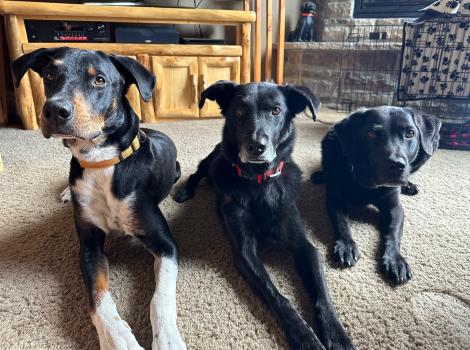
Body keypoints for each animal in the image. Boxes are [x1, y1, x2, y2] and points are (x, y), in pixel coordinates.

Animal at [12, 48, 185, 350]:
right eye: (49, 75)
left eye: (100, 80)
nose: (54, 110)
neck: (101, 161)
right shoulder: (89, 246)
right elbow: (98, 299)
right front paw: (120, 340)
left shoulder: (165, 244)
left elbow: (160, 298)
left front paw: (167, 339)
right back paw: (66, 192)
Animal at [174, 81, 354, 350]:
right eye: (239, 110)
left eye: (276, 110)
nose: (256, 146)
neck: (260, 183)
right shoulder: (244, 251)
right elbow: (278, 296)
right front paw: (305, 336)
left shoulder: (304, 245)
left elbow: (322, 294)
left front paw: (337, 335)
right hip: (211, 161)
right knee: (196, 174)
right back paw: (185, 191)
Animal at [312, 106, 440, 284]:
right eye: (372, 134)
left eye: (410, 133)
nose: (397, 165)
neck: (366, 183)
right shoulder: (335, 200)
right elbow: (341, 223)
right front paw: (346, 245)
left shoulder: (395, 207)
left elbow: (393, 232)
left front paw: (395, 260)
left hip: (429, 149)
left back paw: (408, 185)